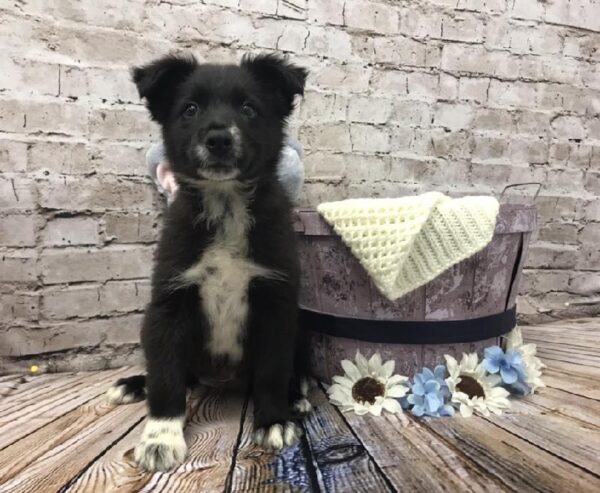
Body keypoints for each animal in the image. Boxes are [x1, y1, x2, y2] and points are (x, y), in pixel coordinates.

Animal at [105, 52, 310, 470]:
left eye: (249, 108)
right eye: (190, 109)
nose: (218, 139)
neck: (225, 202)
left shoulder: (276, 304)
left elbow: (272, 369)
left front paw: (273, 420)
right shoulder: (170, 303)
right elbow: (166, 376)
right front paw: (160, 437)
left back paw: (295, 397)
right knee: (171, 373)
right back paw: (133, 385)